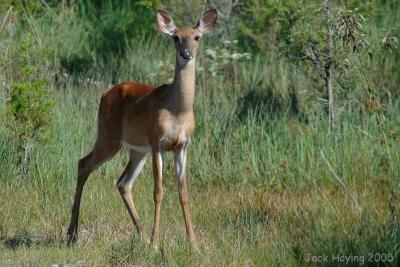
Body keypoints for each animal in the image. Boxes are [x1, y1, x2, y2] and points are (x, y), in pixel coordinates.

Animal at [65, 8, 217, 251]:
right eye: (175, 37)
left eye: (197, 37)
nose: (185, 53)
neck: (178, 111)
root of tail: (104, 94)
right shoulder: (157, 142)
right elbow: (158, 191)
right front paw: (156, 243)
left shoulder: (182, 146)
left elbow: (183, 192)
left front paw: (193, 244)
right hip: (108, 137)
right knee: (83, 164)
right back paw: (72, 234)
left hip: (137, 150)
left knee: (123, 182)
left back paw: (142, 235)